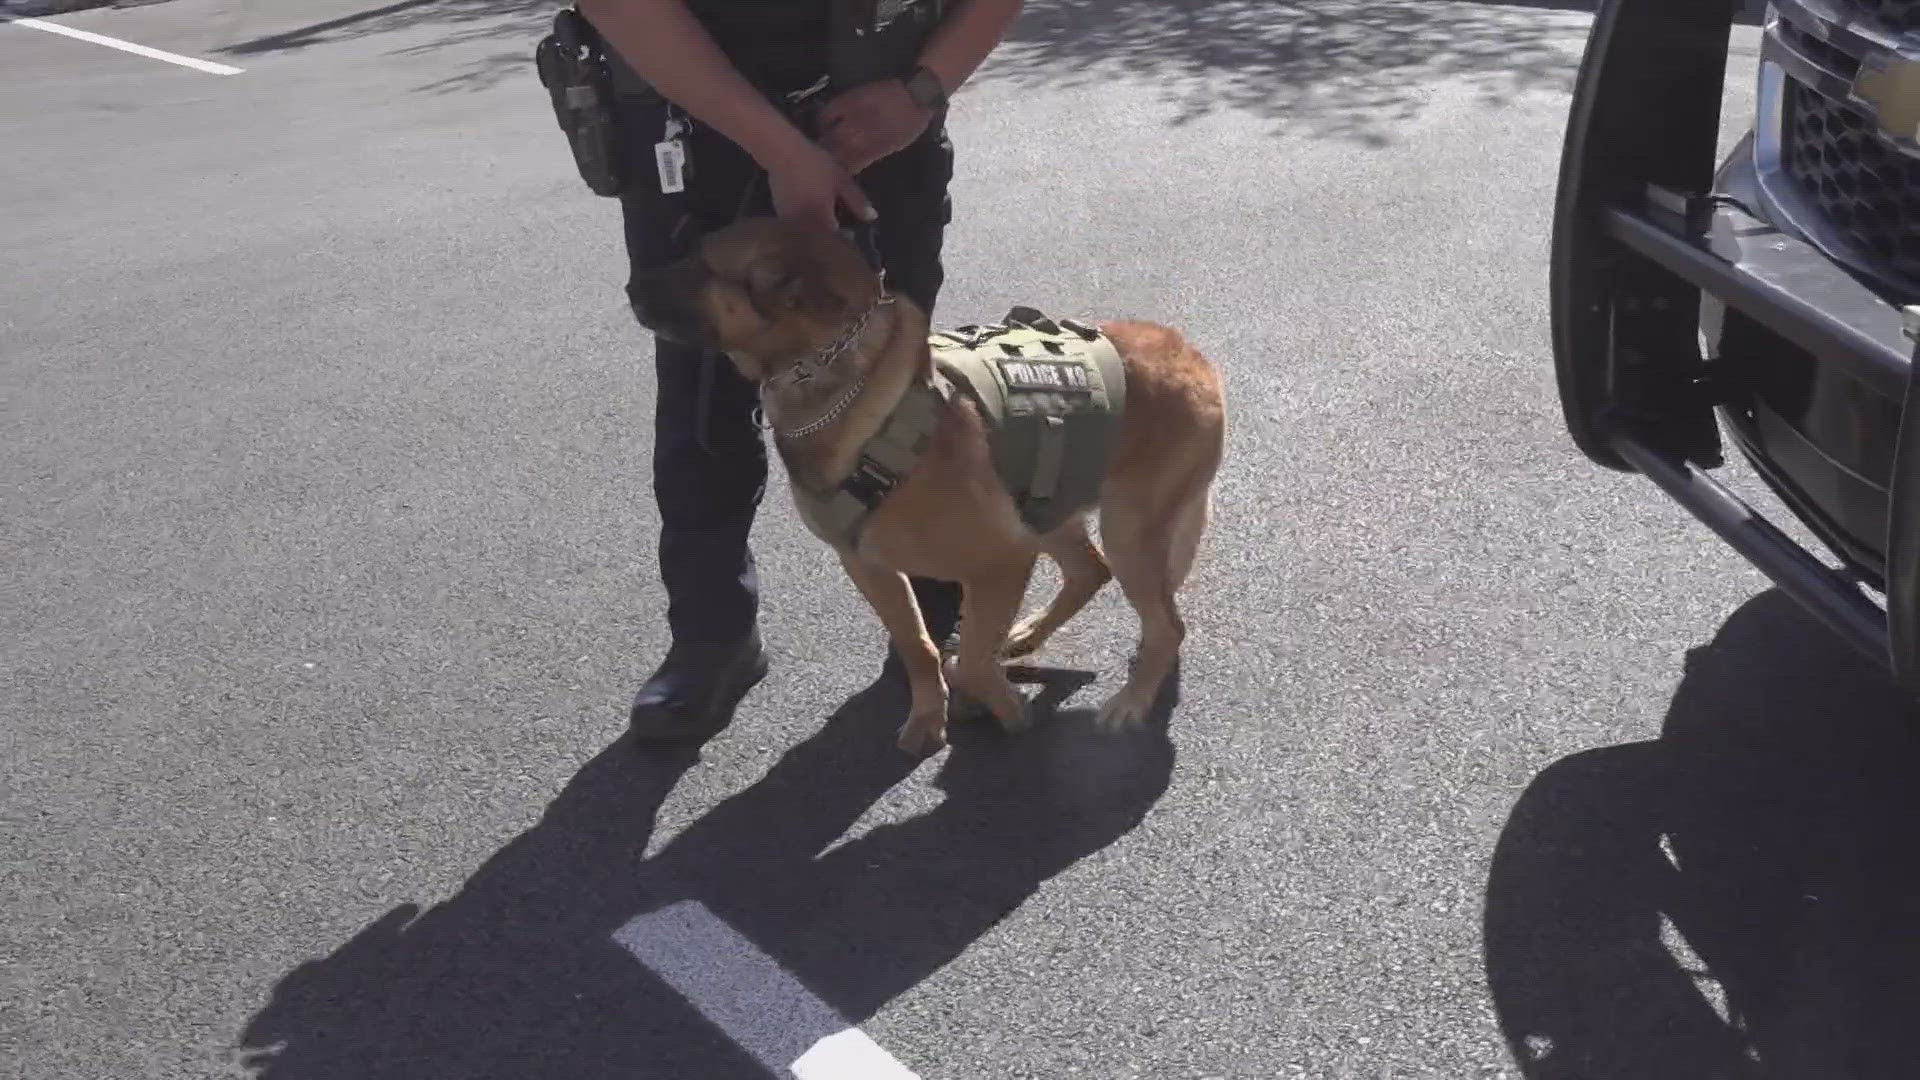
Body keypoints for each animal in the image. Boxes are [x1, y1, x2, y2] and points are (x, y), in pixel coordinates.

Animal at [629, 216, 1228, 749]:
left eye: (701, 265)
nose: (630, 287)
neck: (840, 384)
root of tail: (1189, 353)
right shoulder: (870, 565)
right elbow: (920, 646)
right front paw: (931, 716)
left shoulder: (1002, 558)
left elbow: (970, 657)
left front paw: (1001, 704)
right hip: (1047, 503)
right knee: (1090, 572)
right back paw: (1028, 635)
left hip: (1128, 530)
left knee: (1165, 624)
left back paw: (1131, 702)